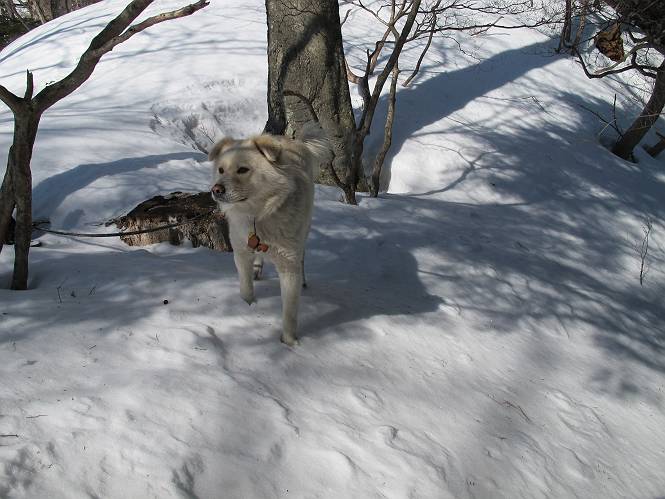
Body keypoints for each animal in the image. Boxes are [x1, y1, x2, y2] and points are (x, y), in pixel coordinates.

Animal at [209, 123, 330, 345]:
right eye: (221, 170)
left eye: (243, 169)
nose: (216, 189)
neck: (259, 214)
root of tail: (294, 141)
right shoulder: (241, 253)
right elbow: (245, 286)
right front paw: (247, 307)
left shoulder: (288, 264)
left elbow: (290, 311)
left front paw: (290, 343)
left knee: (303, 257)